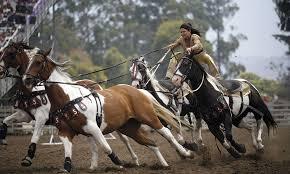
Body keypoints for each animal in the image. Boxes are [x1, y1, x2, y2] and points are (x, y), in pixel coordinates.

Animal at [0, 42, 139, 171]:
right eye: (2, 52)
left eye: (11, 53)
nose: (1, 71)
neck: (33, 90)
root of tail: (95, 85)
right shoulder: (26, 115)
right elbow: (5, 120)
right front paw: (3, 140)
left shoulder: (41, 116)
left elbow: (35, 136)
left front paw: (28, 158)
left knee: (124, 139)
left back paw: (134, 159)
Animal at [22, 48, 195, 171]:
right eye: (28, 61)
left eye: (38, 62)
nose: (26, 79)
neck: (69, 98)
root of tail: (138, 90)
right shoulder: (65, 131)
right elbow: (68, 150)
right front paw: (67, 167)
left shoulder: (93, 128)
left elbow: (105, 147)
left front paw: (118, 162)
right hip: (129, 128)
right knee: (151, 143)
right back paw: (164, 164)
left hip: (150, 118)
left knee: (168, 135)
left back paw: (185, 152)